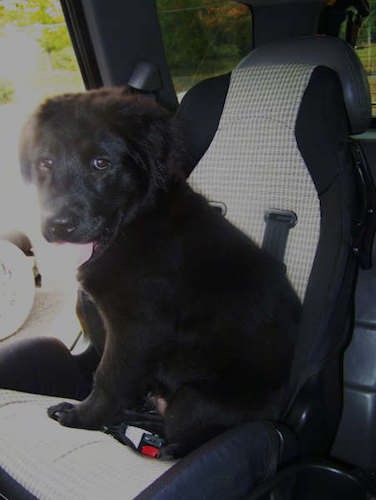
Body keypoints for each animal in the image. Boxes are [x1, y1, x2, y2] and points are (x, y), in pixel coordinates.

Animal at [19, 88, 302, 458]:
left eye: (101, 164)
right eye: (45, 163)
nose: (57, 225)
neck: (133, 224)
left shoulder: (137, 329)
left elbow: (108, 376)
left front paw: (83, 417)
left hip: (193, 399)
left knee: (187, 429)